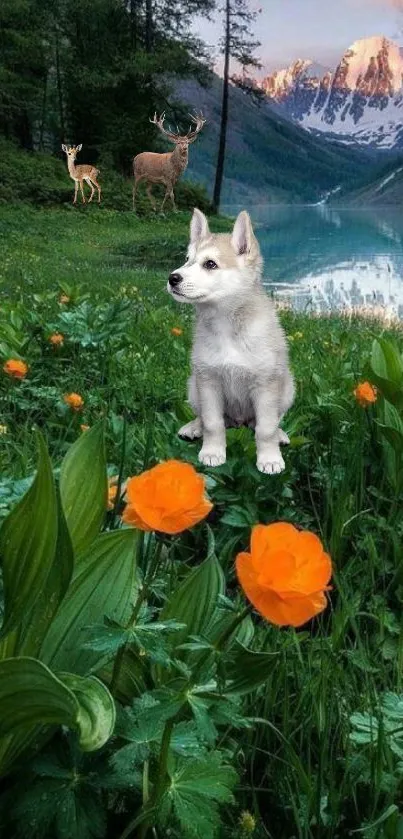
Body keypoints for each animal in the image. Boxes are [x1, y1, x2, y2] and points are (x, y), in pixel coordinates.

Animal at [166, 208, 296, 476]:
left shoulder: (265, 385)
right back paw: (193, 428)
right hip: (193, 385)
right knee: (205, 417)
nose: (172, 278)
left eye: (210, 264)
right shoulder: (208, 381)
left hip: (288, 387)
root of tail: (238, 423)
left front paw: (269, 458)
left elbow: (265, 428)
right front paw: (212, 452)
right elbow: (212, 423)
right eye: (187, 259)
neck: (227, 329)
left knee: (270, 421)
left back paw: (280, 435)